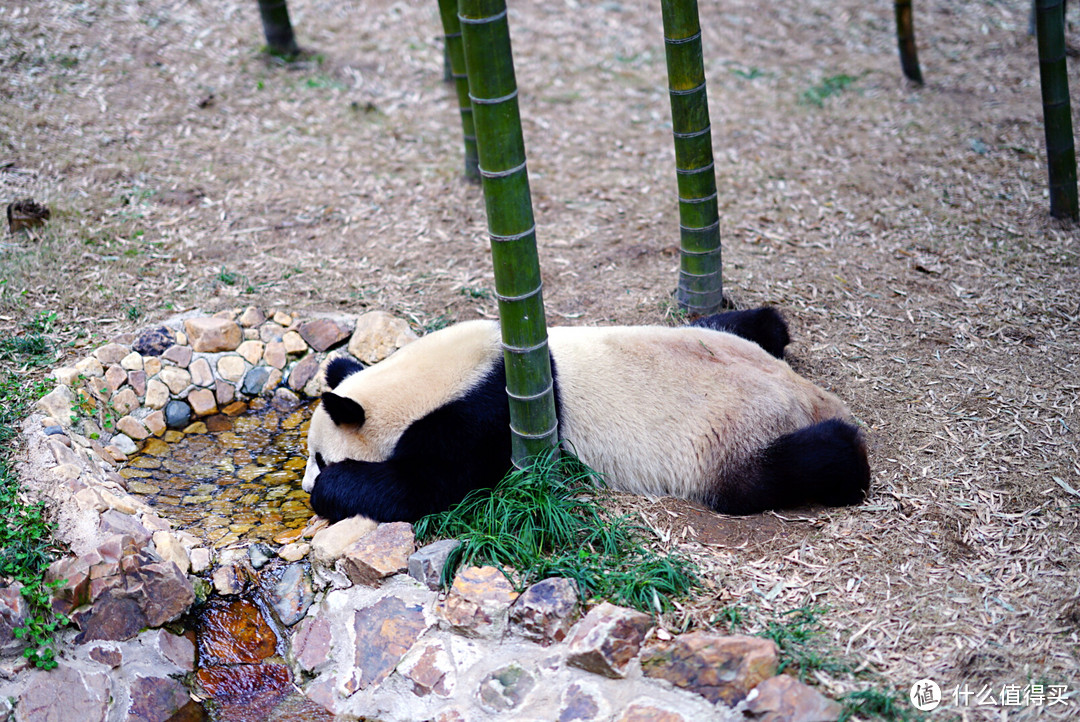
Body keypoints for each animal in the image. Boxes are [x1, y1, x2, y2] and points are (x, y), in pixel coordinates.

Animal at [302, 306, 868, 520]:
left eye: (322, 458)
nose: (306, 482)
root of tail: (809, 394)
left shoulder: (481, 417)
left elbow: (428, 485)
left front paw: (332, 492)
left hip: (732, 442)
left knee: (788, 468)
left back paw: (848, 456)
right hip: (725, 336)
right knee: (760, 322)